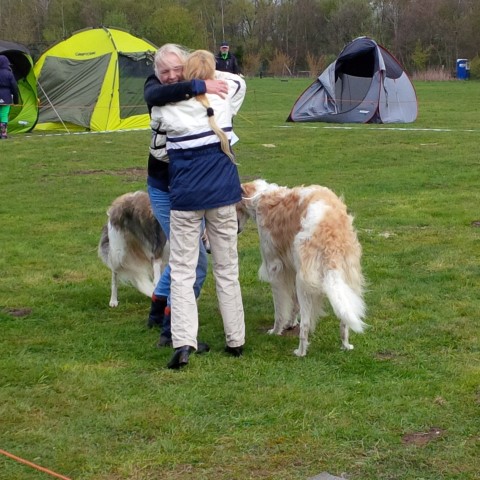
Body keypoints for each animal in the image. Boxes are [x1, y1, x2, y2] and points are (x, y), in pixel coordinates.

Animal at [236, 179, 366, 356]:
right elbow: (293, 304)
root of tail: (329, 230)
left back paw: (300, 351)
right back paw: (345, 345)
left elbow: (280, 309)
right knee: (344, 321)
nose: (236, 230)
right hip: (344, 275)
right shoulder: (292, 269)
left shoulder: (275, 269)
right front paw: (291, 323)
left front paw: (276, 330)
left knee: (305, 324)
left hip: (304, 281)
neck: (260, 197)